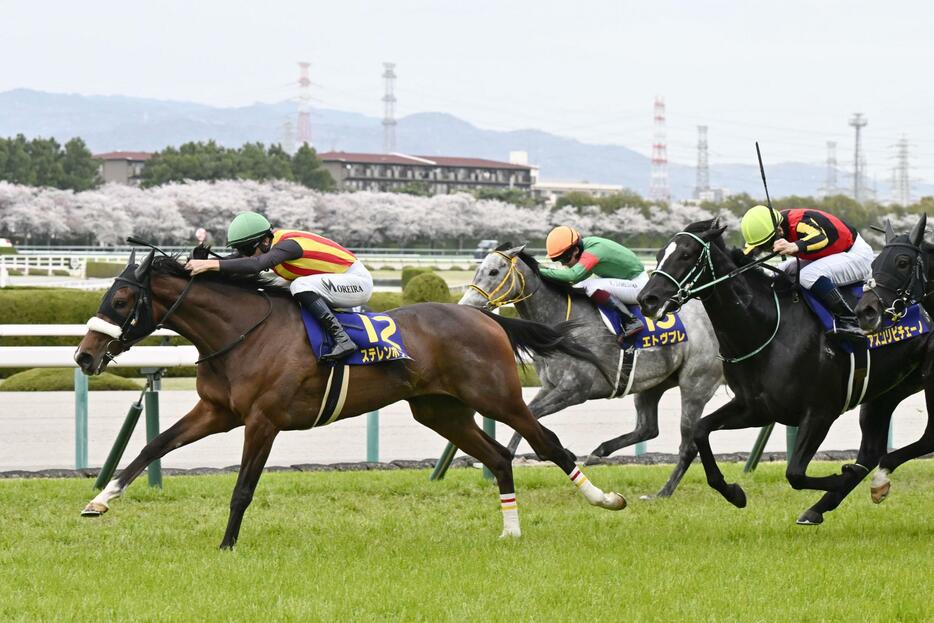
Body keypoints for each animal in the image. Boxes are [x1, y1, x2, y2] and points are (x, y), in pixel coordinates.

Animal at [75, 249, 628, 552]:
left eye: (120, 301)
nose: (83, 356)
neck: (242, 332)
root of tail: (486, 317)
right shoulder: (217, 412)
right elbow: (153, 447)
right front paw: (99, 500)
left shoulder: (263, 420)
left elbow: (242, 488)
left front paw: (227, 544)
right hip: (440, 409)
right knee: (498, 456)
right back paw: (510, 531)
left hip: (497, 398)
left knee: (547, 442)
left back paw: (605, 500)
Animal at [464, 246, 728, 500]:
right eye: (478, 270)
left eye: (493, 272)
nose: (467, 306)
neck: (563, 323)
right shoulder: (550, 386)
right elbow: (529, 414)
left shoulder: (576, 389)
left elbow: (531, 414)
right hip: (654, 384)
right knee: (648, 428)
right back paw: (599, 452)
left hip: (696, 384)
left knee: (688, 444)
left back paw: (664, 492)